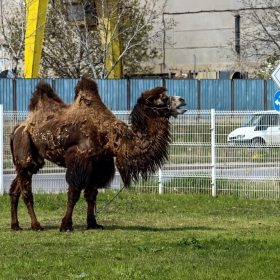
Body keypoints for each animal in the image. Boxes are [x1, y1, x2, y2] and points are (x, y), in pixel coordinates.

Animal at [9, 75, 186, 231]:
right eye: (163, 98)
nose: (182, 100)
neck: (112, 137)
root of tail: (17, 129)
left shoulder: (99, 163)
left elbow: (91, 194)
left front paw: (93, 223)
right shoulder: (79, 159)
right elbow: (74, 193)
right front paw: (66, 225)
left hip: (32, 159)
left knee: (15, 188)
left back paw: (16, 226)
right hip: (24, 147)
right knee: (27, 192)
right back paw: (36, 226)